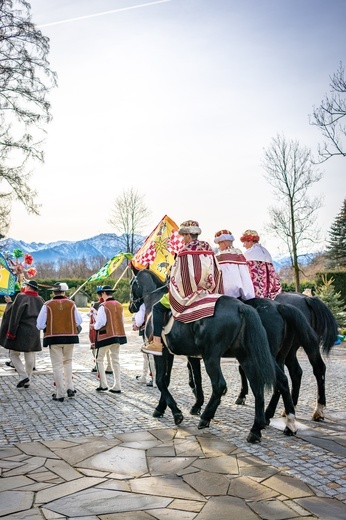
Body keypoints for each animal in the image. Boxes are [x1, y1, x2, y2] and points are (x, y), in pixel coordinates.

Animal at [130, 268, 278, 442]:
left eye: (132, 283)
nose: (131, 306)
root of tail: (240, 306)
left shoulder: (161, 354)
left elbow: (160, 380)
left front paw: (176, 413)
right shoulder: (172, 354)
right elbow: (167, 380)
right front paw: (161, 408)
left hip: (211, 357)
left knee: (220, 385)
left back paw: (206, 418)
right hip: (245, 356)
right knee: (257, 385)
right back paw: (255, 429)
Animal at [237, 292, 336, 422]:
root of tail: (306, 298)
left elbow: (242, 369)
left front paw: (242, 395)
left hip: (288, 351)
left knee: (295, 374)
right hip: (305, 345)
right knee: (307, 371)